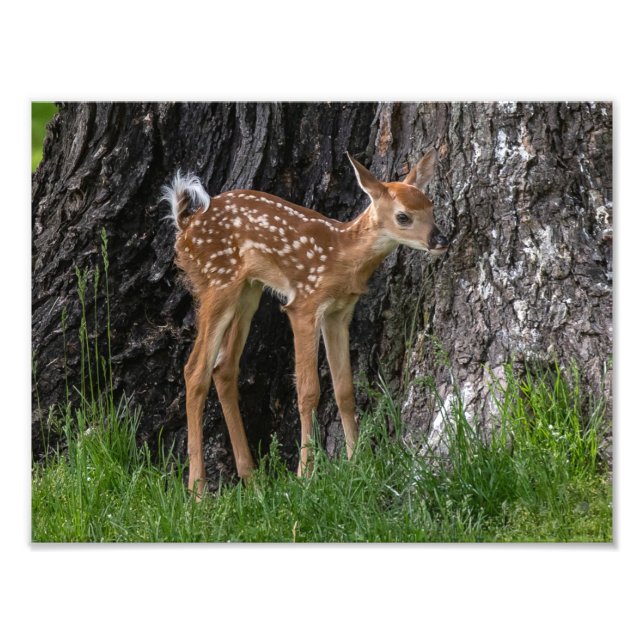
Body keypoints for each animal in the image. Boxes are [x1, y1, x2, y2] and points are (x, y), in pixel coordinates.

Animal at [162, 150, 449, 495]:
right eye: (404, 216)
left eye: (431, 206)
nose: (441, 240)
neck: (343, 255)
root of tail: (184, 226)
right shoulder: (303, 305)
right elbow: (308, 391)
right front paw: (305, 475)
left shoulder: (339, 312)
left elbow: (344, 390)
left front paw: (357, 462)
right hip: (217, 281)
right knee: (195, 370)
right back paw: (198, 490)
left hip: (248, 290)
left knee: (224, 368)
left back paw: (252, 479)